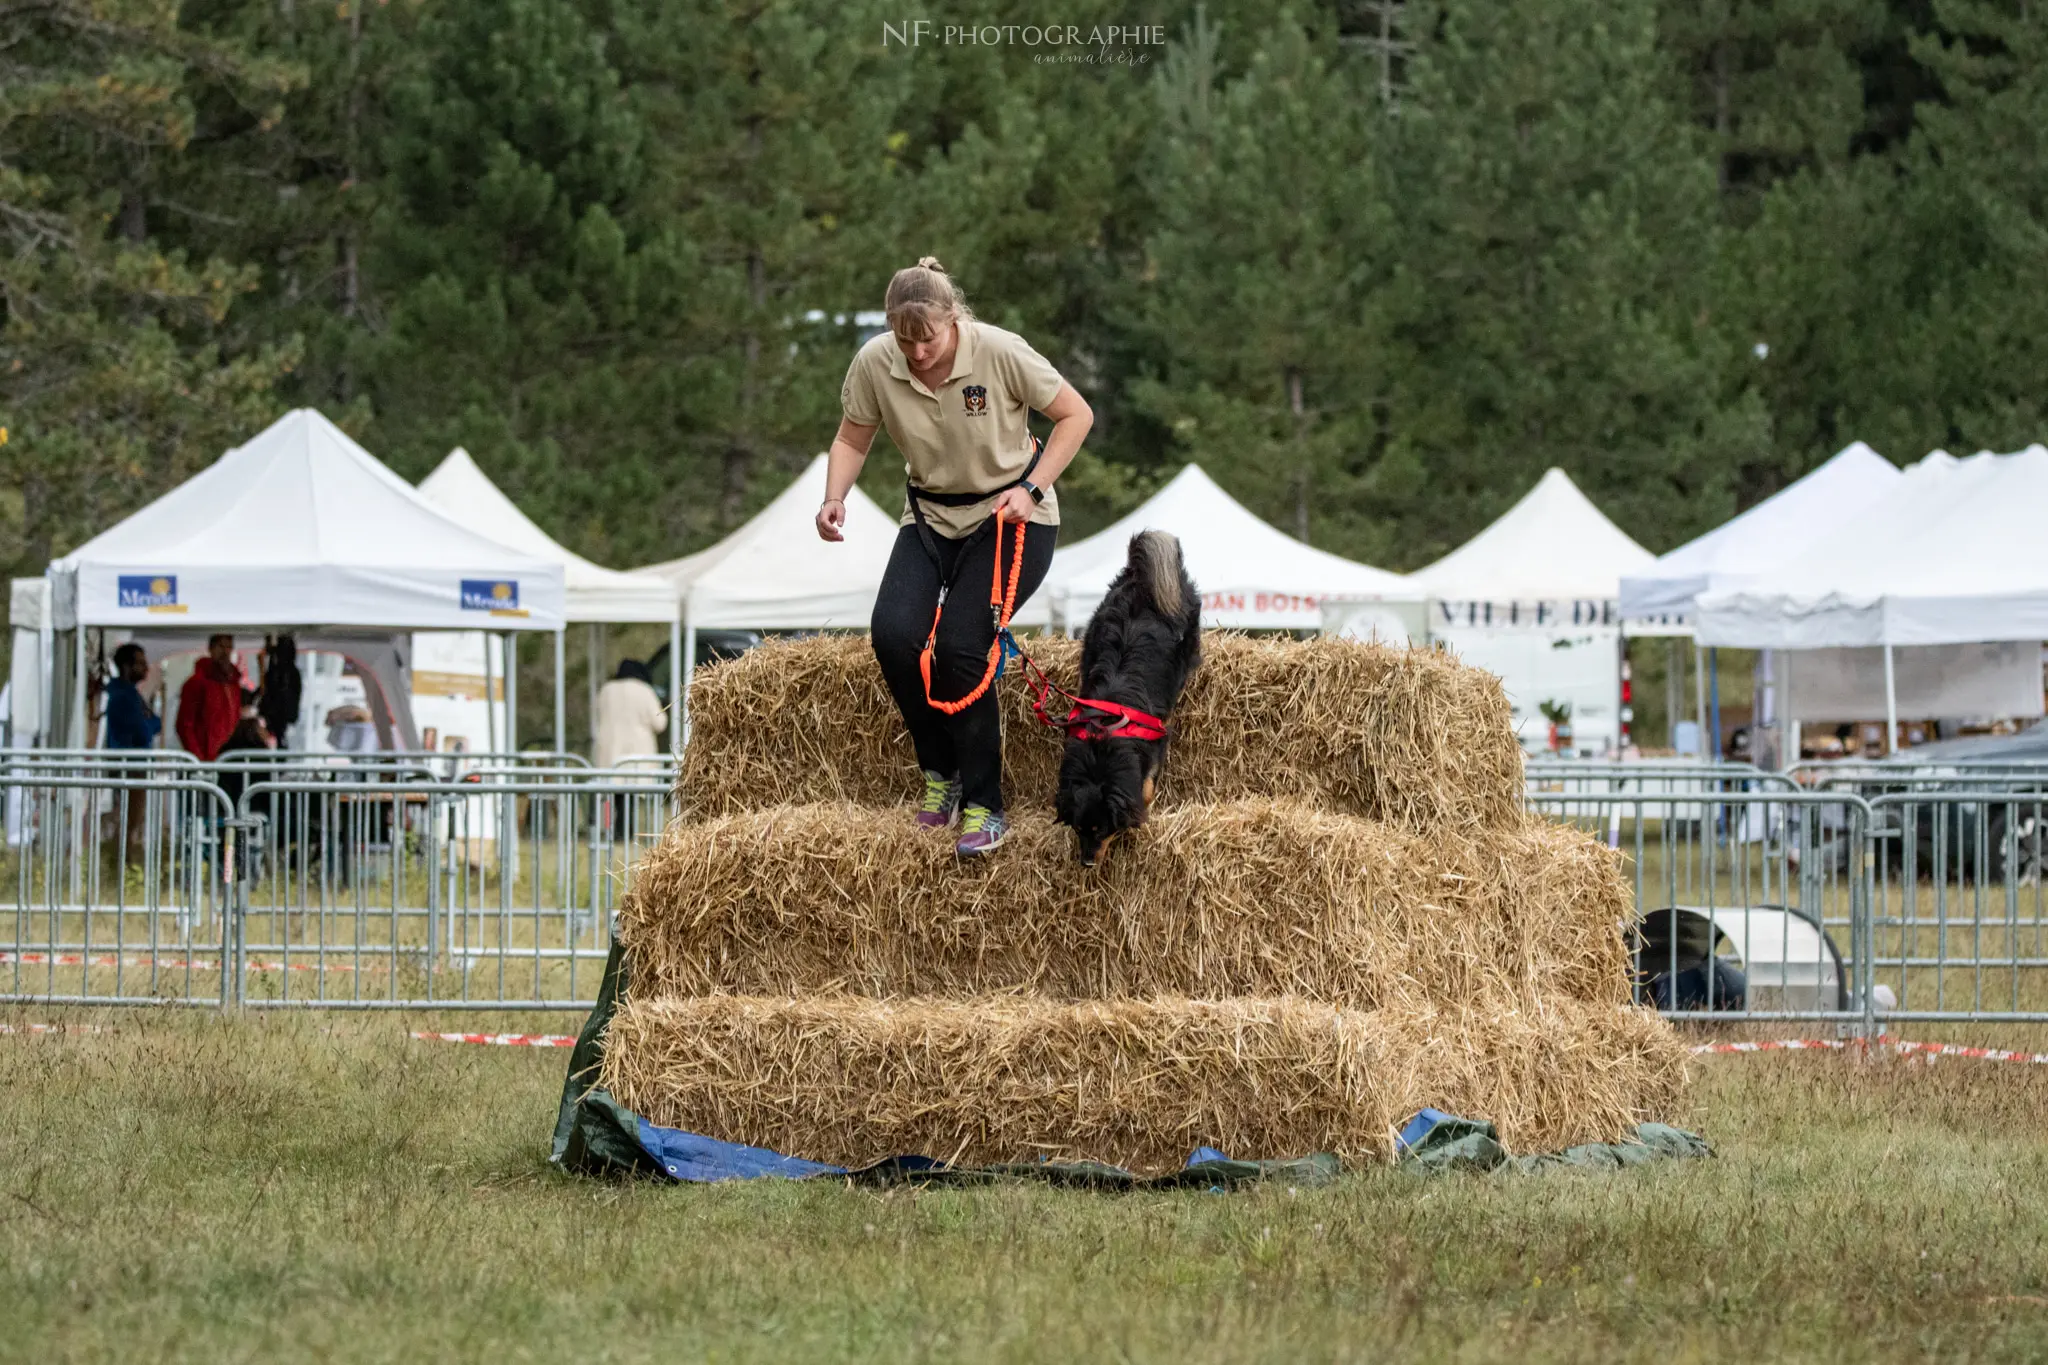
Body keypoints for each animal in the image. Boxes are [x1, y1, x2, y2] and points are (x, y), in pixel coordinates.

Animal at [1056, 532, 1196, 863]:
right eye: (1079, 829)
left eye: (1102, 830)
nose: (1087, 863)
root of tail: (1141, 579)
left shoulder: (1157, 741)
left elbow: (1146, 786)